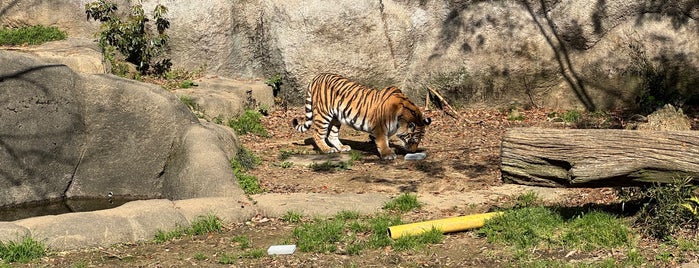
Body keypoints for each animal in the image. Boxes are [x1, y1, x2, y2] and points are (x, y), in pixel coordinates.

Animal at [292, 73, 432, 159]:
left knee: (331, 135)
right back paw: (327, 149)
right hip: (323, 114)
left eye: (419, 140)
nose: (413, 151)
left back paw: (342, 147)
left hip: (336, 118)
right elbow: (382, 141)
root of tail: (318, 76)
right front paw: (387, 154)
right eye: (413, 139)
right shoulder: (380, 126)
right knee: (317, 134)